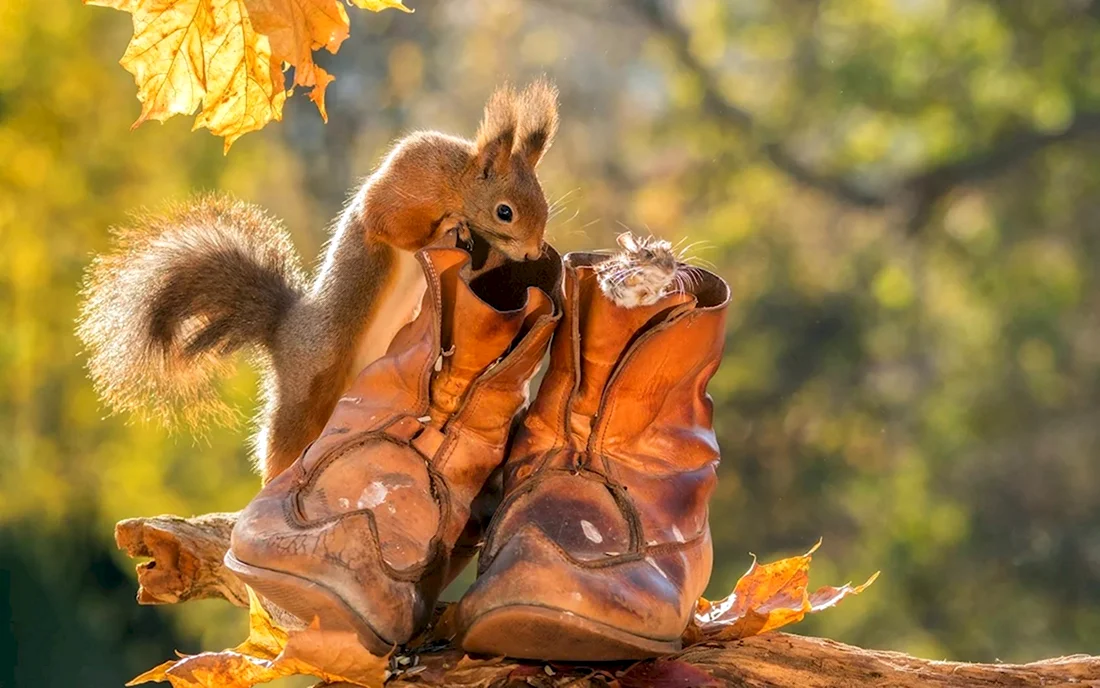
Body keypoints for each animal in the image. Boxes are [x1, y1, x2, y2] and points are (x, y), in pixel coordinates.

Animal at [76, 77, 558, 479]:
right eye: (505, 212)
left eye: (543, 203)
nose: (534, 251)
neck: (455, 180)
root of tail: (283, 330)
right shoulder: (404, 186)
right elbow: (389, 224)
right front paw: (446, 228)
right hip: (309, 385)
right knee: (283, 443)